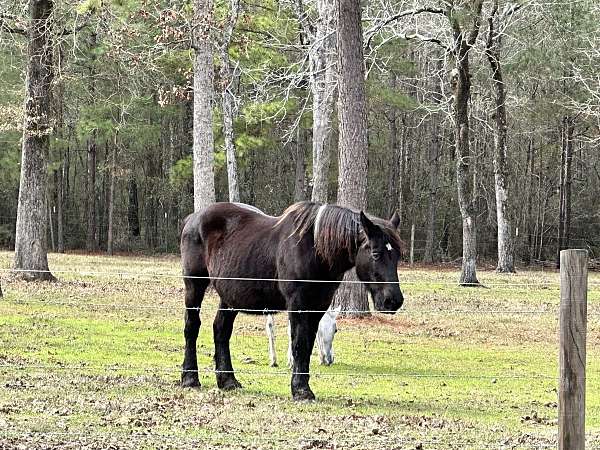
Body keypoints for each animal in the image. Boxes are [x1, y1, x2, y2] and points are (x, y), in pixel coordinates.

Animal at [178, 201, 404, 400]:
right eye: (376, 253)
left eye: (398, 255)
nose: (393, 301)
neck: (315, 249)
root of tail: (192, 219)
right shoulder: (298, 305)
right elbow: (299, 343)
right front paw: (301, 390)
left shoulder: (317, 307)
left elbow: (308, 345)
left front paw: (302, 386)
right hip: (194, 286)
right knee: (192, 327)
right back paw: (190, 378)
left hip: (229, 297)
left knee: (221, 330)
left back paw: (227, 381)